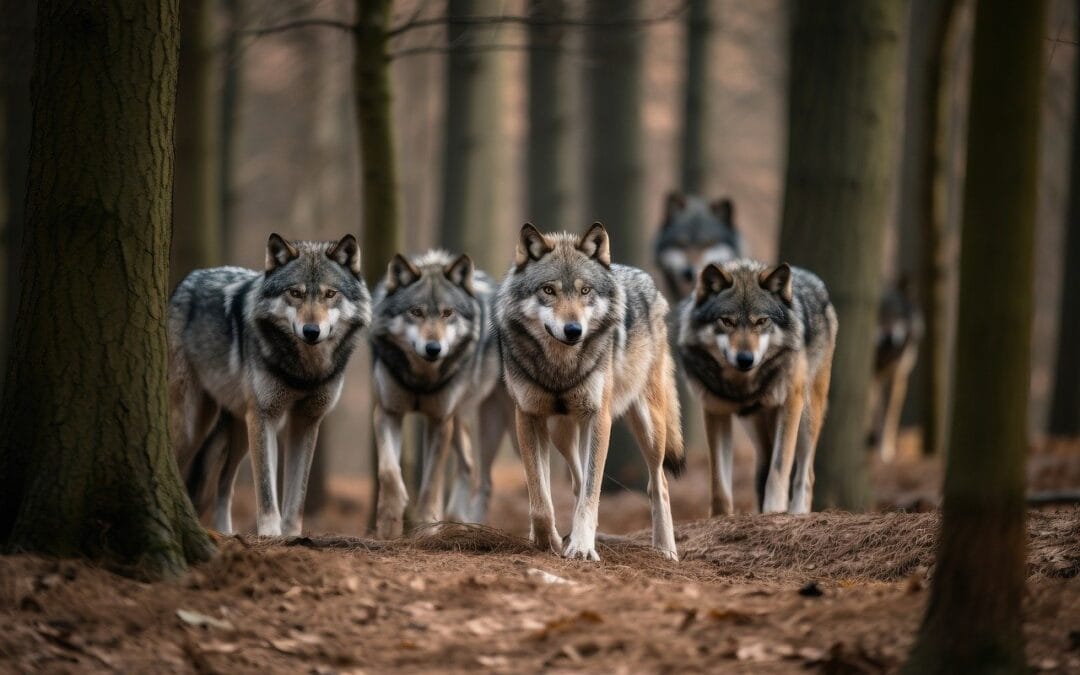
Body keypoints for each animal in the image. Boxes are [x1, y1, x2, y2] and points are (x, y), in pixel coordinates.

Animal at [169, 234, 371, 536]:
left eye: (330, 294)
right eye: (295, 293)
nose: (311, 331)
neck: (304, 372)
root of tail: (187, 280)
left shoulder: (306, 422)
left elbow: (296, 496)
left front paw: (292, 536)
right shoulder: (265, 417)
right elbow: (265, 489)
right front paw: (270, 534)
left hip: (238, 433)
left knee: (223, 486)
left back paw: (225, 532)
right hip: (194, 426)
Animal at [369, 250, 510, 538]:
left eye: (447, 313)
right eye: (416, 312)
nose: (433, 348)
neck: (422, 380)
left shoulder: (439, 421)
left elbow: (431, 482)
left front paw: (427, 528)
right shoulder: (388, 412)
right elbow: (389, 472)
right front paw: (388, 525)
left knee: (481, 474)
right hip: (465, 421)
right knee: (472, 469)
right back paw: (461, 521)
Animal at [495, 223, 685, 561]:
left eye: (585, 291)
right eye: (548, 290)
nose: (574, 330)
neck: (561, 367)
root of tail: (644, 277)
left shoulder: (599, 417)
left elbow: (591, 491)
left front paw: (582, 548)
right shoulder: (528, 416)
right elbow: (540, 497)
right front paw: (547, 540)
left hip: (648, 425)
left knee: (658, 483)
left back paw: (665, 550)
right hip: (562, 432)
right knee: (577, 480)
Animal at [677, 260, 837, 515]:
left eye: (761, 321)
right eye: (727, 321)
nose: (745, 359)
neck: (744, 386)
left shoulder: (790, 404)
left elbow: (779, 468)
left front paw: (775, 510)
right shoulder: (715, 410)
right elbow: (719, 482)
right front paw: (720, 517)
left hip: (807, 416)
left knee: (805, 475)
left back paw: (797, 512)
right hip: (754, 426)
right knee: (763, 463)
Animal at [867, 280, 923, 462]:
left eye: (897, 314)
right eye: (878, 315)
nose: (888, 339)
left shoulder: (897, 377)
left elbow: (890, 417)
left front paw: (886, 449)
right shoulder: (873, 379)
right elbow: (876, 411)